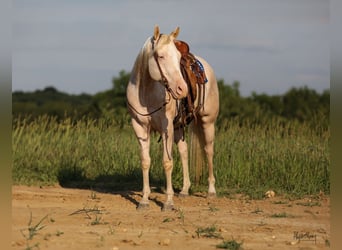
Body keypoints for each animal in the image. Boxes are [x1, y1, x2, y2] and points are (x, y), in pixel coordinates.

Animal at [126, 25, 219, 210]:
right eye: (160, 56)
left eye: (178, 58)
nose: (182, 89)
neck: (146, 92)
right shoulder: (139, 126)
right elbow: (145, 161)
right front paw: (144, 200)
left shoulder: (166, 128)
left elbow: (167, 162)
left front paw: (168, 202)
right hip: (178, 127)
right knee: (184, 151)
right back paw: (184, 189)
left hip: (207, 122)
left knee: (209, 151)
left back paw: (211, 191)